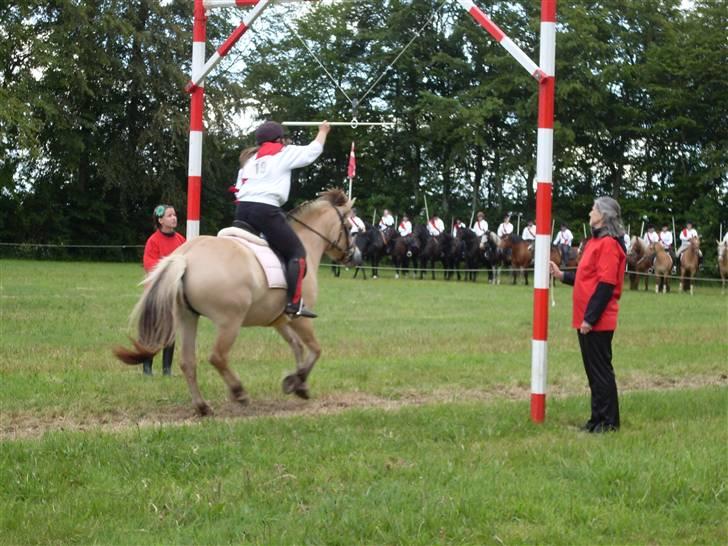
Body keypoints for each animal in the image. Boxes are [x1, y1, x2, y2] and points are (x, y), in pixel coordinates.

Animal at [114, 189, 362, 414]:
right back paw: (238, 392)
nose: (357, 257)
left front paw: (297, 384)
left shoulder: (280, 320)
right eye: (351, 230)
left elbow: (297, 346)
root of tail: (186, 256)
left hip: (187, 317)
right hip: (230, 321)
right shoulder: (299, 318)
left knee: (187, 362)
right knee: (217, 357)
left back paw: (202, 406)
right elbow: (315, 349)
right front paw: (299, 380)